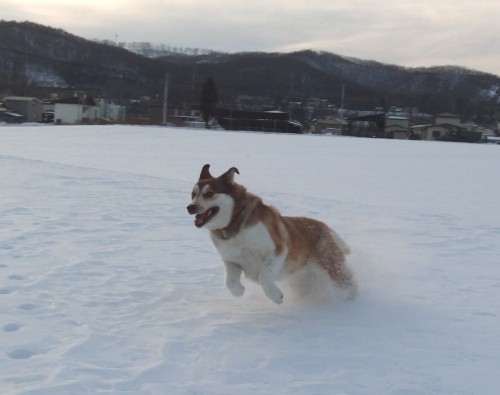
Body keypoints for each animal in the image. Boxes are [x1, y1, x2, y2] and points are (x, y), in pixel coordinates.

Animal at [187, 166, 356, 304]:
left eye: (209, 194)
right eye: (193, 194)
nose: (190, 207)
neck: (235, 223)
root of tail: (325, 227)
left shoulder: (277, 250)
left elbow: (264, 276)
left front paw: (276, 296)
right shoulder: (232, 260)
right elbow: (231, 284)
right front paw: (240, 291)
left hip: (333, 269)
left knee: (349, 285)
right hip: (303, 278)